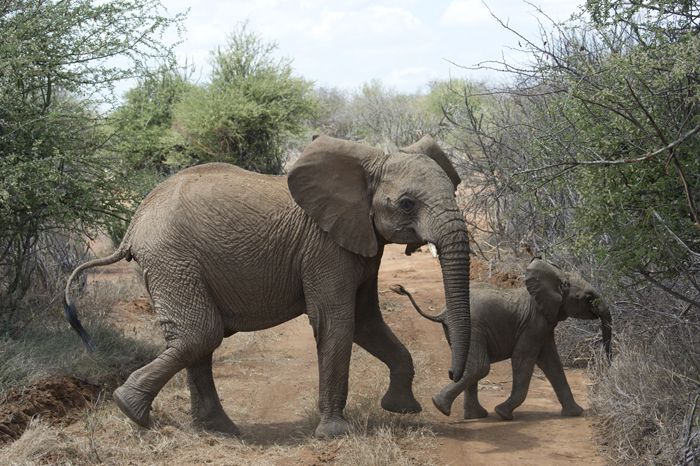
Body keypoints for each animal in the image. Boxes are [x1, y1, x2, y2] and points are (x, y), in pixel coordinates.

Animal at [65, 134, 474, 436]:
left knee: (199, 338)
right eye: (406, 204)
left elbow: (366, 321)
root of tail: (134, 226)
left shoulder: (360, 243)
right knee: (200, 333)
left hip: (174, 263)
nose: (451, 378)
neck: (367, 164)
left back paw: (218, 430)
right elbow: (337, 323)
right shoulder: (325, 248)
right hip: (172, 259)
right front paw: (335, 433)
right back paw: (131, 409)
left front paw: (402, 409)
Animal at [394, 258, 612, 422]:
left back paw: (475, 416)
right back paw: (441, 407)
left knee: (470, 366)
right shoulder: (534, 324)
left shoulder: (545, 325)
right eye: (588, 298)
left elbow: (552, 363)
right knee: (479, 367)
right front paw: (503, 414)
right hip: (475, 328)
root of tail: (444, 313)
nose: (609, 365)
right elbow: (523, 359)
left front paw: (575, 413)